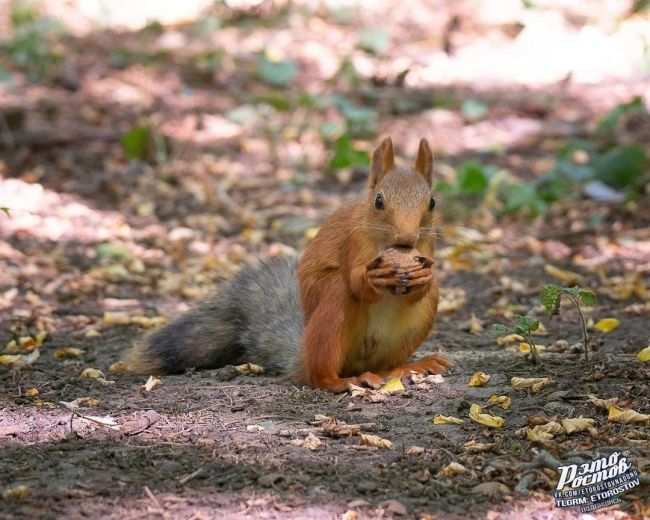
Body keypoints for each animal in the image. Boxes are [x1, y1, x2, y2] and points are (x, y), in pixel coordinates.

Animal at [125, 137, 450, 390]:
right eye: (379, 201)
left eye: (433, 202)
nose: (407, 239)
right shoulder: (353, 241)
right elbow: (357, 282)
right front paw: (375, 278)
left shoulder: (427, 244)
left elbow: (422, 288)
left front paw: (425, 276)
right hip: (330, 318)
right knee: (322, 364)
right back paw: (339, 381)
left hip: (409, 331)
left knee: (384, 363)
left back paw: (407, 367)